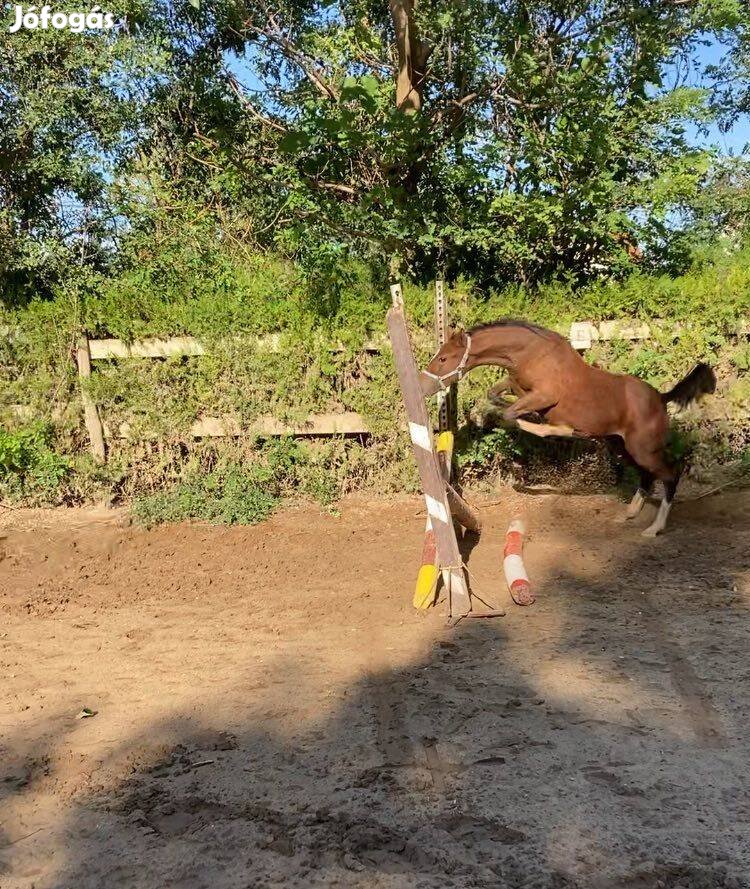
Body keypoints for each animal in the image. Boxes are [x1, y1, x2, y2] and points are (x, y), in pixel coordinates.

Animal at [420, 322, 720, 536]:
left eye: (444, 358)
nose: (423, 385)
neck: (532, 355)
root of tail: (660, 397)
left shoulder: (543, 396)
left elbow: (512, 414)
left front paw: (553, 428)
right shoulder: (516, 386)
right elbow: (495, 395)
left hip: (643, 448)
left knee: (671, 473)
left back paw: (654, 528)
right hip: (622, 447)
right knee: (647, 477)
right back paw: (628, 514)